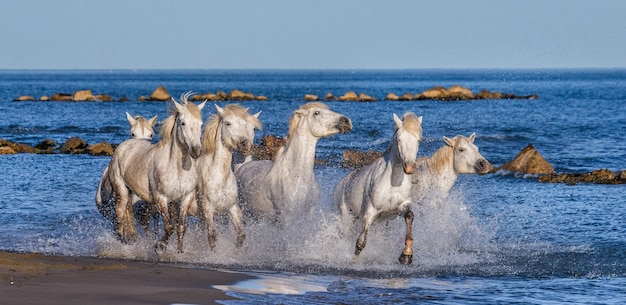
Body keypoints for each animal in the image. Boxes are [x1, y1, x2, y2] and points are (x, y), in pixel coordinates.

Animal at [106, 93, 205, 249]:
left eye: (200, 124)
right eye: (182, 123)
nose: (196, 151)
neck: (177, 168)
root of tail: (122, 147)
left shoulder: (185, 197)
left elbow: (180, 227)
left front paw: (179, 251)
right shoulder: (161, 197)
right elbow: (169, 227)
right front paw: (159, 246)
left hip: (131, 192)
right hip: (121, 191)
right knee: (120, 221)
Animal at [184, 104, 262, 252]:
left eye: (245, 123)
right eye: (228, 123)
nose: (245, 144)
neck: (219, 177)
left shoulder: (232, 208)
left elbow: (241, 234)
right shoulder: (208, 210)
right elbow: (212, 237)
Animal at [332, 111, 424, 264]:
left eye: (418, 140)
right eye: (399, 139)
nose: (409, 167)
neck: (393, 183)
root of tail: (341, 183)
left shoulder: (401, 207)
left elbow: (410, 216)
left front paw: (406, 255)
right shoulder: (369, 212)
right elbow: (361, 242)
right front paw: (352, 262)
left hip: (380, 223)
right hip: (346, 216)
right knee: (347, 236)